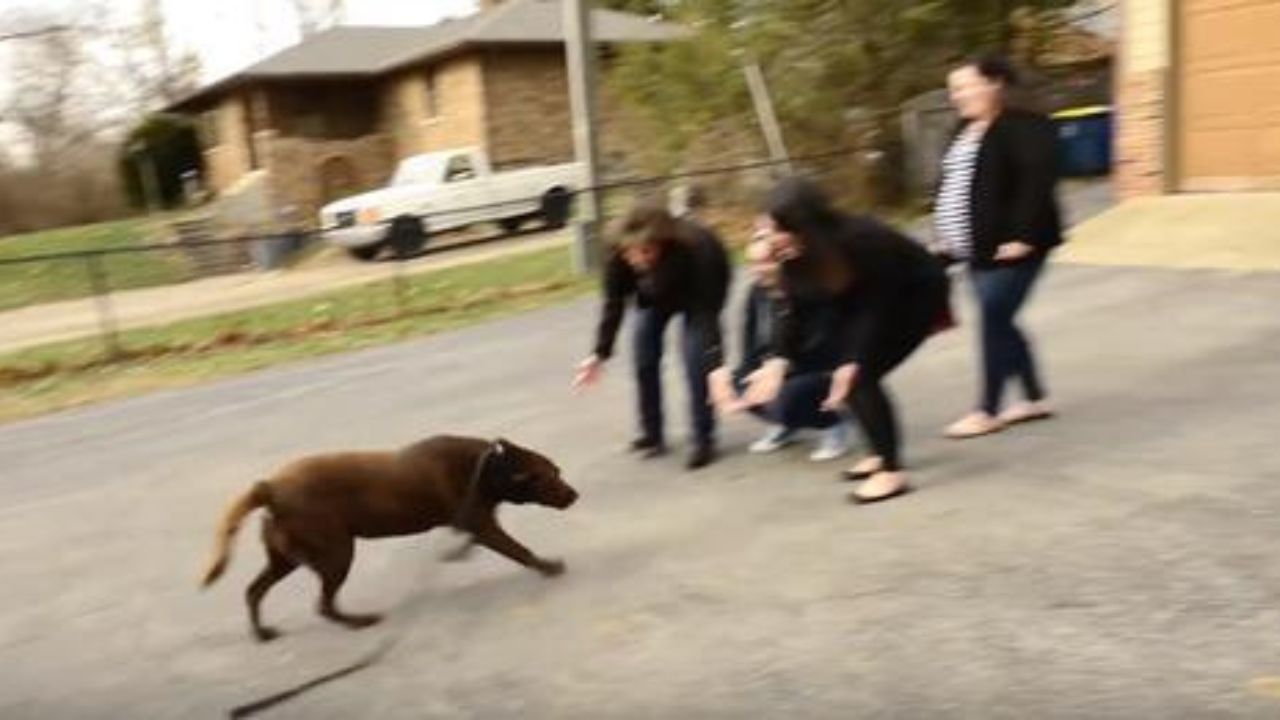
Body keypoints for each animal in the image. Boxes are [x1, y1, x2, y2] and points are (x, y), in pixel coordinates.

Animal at [200, 430, 581, 638]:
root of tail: (270, 488)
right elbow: (519, 550)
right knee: (322, 603)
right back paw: (358, 622)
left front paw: (456, 553)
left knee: (254, 591)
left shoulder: (476, 523)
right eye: (553, 475)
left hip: (284, 558)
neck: (490, 466)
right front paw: (548, 567)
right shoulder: (484, 525)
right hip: (337, 552)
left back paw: (263, 633)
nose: (575, 494)